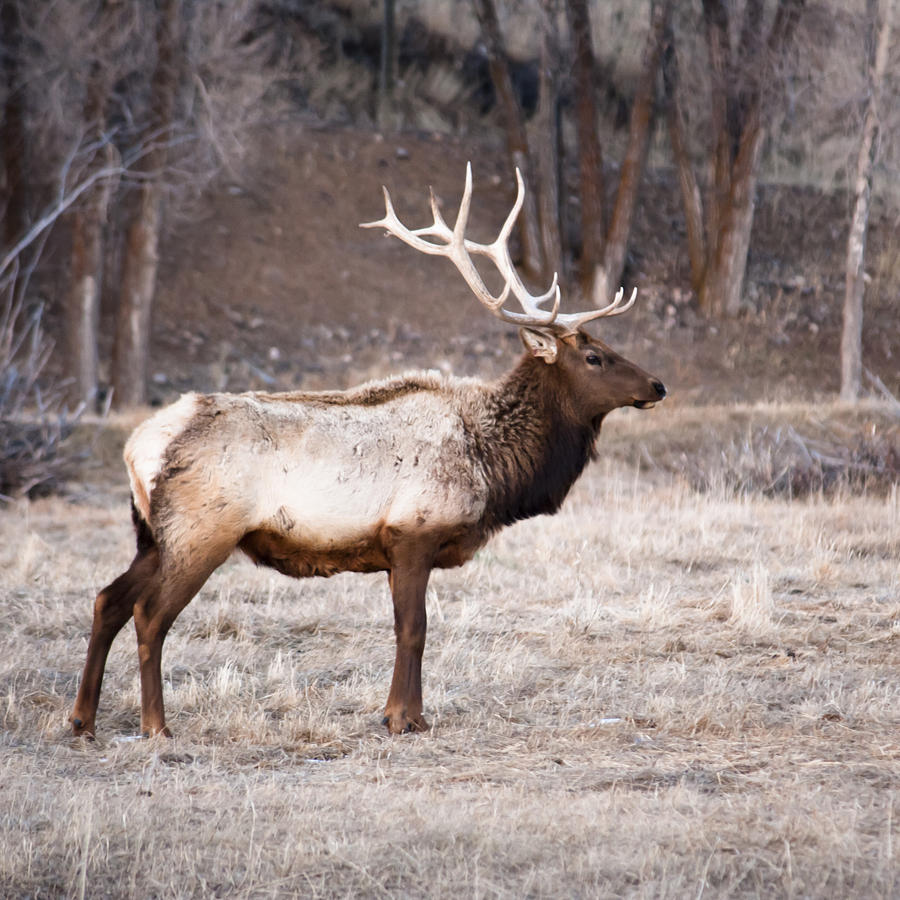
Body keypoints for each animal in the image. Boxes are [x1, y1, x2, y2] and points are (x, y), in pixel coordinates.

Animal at [70, 163, 664, 740]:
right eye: (594, 356)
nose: (658, 385)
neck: (494, 467)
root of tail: (139, 446)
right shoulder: (414, 531)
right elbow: (414, 629)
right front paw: (402, 719)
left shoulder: (397, 548)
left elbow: (410, 628)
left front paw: (408, 715)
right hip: (202, 531)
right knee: (149, 614)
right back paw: (155, 726)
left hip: (153, 534)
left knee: (107, 599)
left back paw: (81, 719)